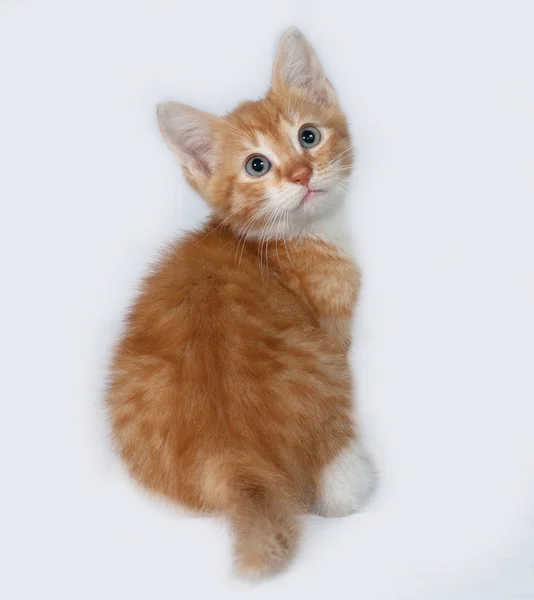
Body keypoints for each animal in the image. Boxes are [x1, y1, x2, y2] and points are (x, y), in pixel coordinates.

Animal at [107, 27, 376, 576]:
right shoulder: (335, 327)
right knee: (337, 489)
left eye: (308, 136)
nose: (301, 174)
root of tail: (232, 456)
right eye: (257, 166)